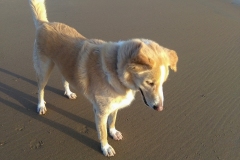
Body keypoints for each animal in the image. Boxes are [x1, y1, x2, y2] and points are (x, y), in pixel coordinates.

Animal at [28, 0, 178, 156]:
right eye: (149, 83)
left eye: (162, 83)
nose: (159, 108)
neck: (116, 69)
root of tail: (45, 24)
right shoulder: (101, 112)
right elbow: (103, 133)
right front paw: (106, 147)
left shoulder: (115, 105)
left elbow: (112, 121)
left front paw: (113, 132)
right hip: (44, 70)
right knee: (40, 89)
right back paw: (41, 106)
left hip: (64, 66)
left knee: (64, 79)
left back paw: (68, 93)